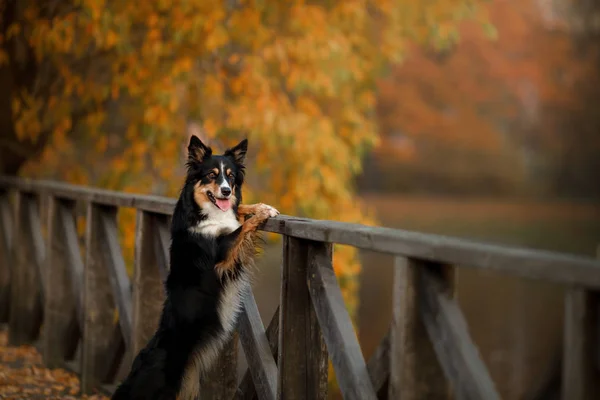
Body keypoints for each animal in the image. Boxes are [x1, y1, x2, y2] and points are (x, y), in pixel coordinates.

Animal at [112, 136, 278, 398]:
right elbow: (240, 228)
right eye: (211, 175)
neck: (206, 212)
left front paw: (256, 206)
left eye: (230, 177)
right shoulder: (222, 252)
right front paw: (261, 213)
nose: (226, 190)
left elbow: (237, 213)